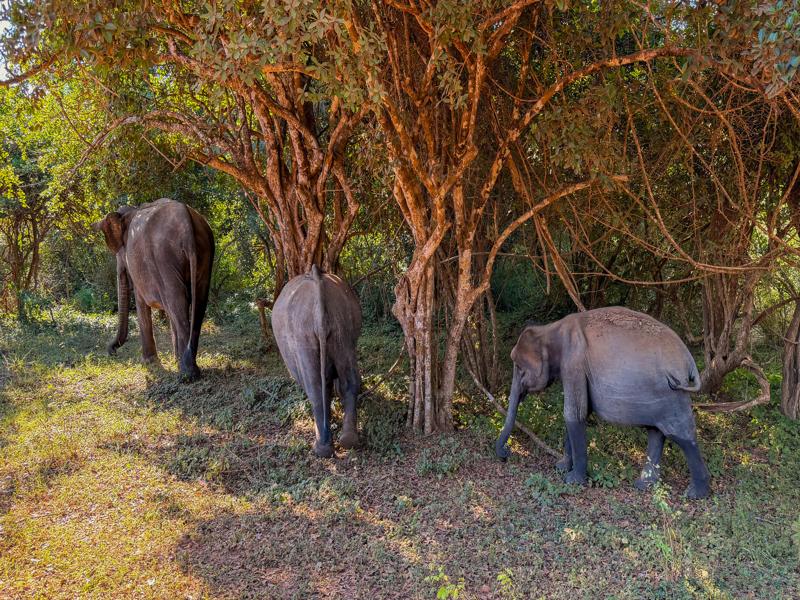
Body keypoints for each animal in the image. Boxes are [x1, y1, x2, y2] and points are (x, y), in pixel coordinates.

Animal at [93, 198, 215, 380]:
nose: (112, 352)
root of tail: (186, 220)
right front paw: (172, 360)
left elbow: (141, 302)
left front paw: (148, 362)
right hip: (203, 252)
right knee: (197, 301)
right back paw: (187, 365)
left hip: (164, 258)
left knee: (177, 304)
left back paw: (187, 374)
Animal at [271, 265, 362, 458]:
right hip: (343, 324)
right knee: (349, 377)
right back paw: (348, 441)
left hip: (302, 332)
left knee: (314, 387)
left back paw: (321, 448)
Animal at [495, 306, 711, 499]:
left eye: (519, 368)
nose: (506, 454)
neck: (550, 328)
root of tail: (689, 361)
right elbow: (580, 412)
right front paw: (561, 467)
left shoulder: (573, 362)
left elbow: (573, 413)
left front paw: (572, 480)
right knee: (656, 433)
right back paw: (644, 485)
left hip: (672, 394)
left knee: (681, 435)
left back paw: (695, 494)